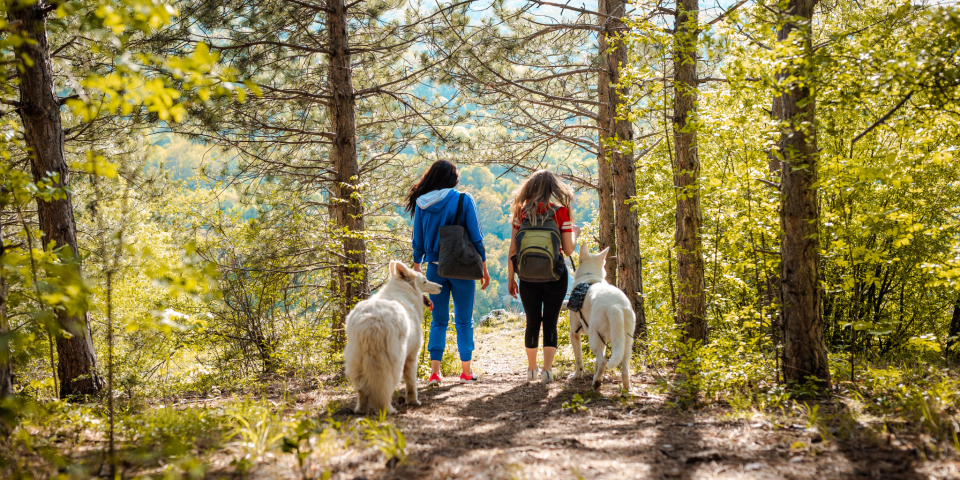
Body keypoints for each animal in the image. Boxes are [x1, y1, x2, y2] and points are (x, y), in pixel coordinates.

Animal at [344, 260, 440, 414]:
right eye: (425, 281)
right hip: (394, 364)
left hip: (356, 362)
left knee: (361, 390)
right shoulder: (411, 357)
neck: (405, 292)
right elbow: (411, 384)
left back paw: (360, 410)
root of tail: (371, 322)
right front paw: (413, 402)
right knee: (385, 388)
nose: (441, 286)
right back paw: (388, 410)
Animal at [568, 246, 636, 392]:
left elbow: (579, 360)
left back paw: (597, 383)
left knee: (603, 361)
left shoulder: (574, 333)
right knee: (624, 368)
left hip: (593, 339)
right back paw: (625, 388)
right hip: (626, 342)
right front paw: (595, 373)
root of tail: (615, 305)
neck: (589, 275)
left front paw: (577, 375)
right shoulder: (603, 341)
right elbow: (596, 363)